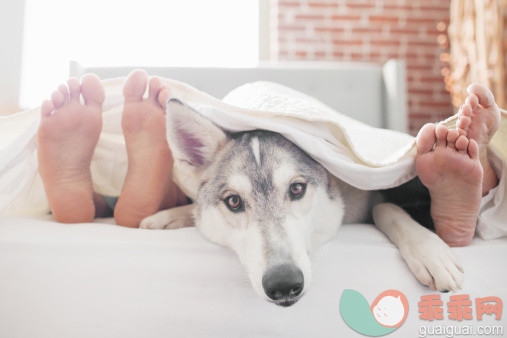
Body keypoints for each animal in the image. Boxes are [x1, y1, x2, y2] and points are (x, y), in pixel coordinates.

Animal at [140, 99, 464, 308]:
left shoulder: (373, 192)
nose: (283, 284)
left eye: (296, 189)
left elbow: (385, 208)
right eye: (233, 201)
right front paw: (169, 216)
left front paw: (430, 250)